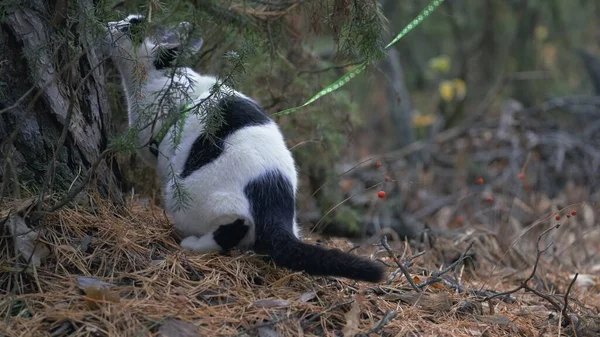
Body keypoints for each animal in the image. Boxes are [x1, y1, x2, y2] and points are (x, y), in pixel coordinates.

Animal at [104, 13, 384, 280]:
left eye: (131, 27)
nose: (108, 23)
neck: (165, 82)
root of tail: (274, 199)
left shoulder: (158, 150)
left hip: (184, 193)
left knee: (231, 228)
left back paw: (194, 243)